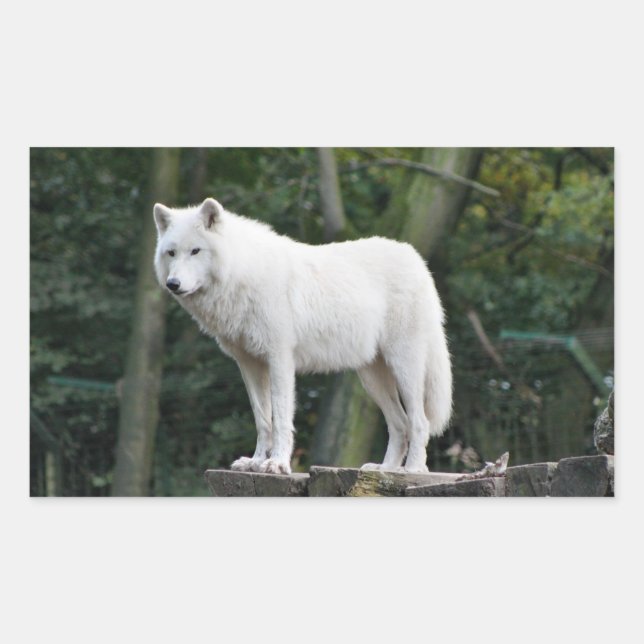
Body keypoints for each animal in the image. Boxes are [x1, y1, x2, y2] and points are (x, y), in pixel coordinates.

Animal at [153, 198, 452, 475]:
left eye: (195, 251)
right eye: (171, 253)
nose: (173, 284)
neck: (242, 273)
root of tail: (416, 259)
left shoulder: (280, 360)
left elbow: (281, 418)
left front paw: (277, 463)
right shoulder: (249, 364)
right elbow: (263, 419)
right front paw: (256, 462)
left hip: (404, 368)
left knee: (419, 422)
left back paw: (413, 469)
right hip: (372, 378)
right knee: (400, 424)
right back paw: (384, 470)